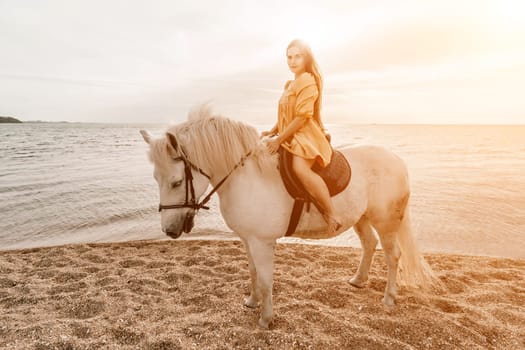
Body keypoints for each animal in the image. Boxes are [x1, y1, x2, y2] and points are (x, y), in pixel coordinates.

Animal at [140, 106, 438, 328]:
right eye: (155, 178)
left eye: (177, 182)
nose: (169, 230)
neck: (246, 177)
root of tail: (397, 160)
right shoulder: (247, 240)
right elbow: (253, 272)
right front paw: (252, 302)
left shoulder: (262, 242)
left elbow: (266, 279)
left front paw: (265, 319)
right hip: (360, 218)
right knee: (369, 244)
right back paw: (358, 280)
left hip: (385, 221)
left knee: (393, 255)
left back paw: (389, 298)